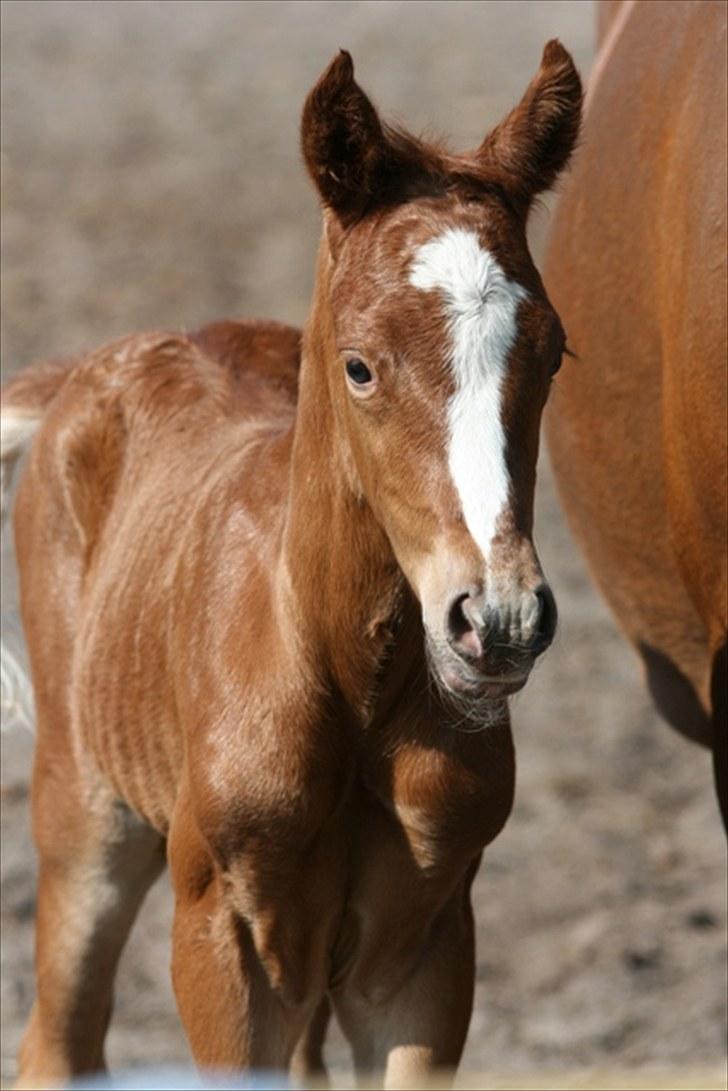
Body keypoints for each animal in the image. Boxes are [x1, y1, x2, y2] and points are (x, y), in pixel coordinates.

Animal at [0, 44, 580, 1091]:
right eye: (358, 365)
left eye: (553, 354)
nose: (499, 617)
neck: (348, 683)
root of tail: (82, 372)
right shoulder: (224, 945)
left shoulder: (424, 950)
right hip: (84, 821)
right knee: (59, 1035)